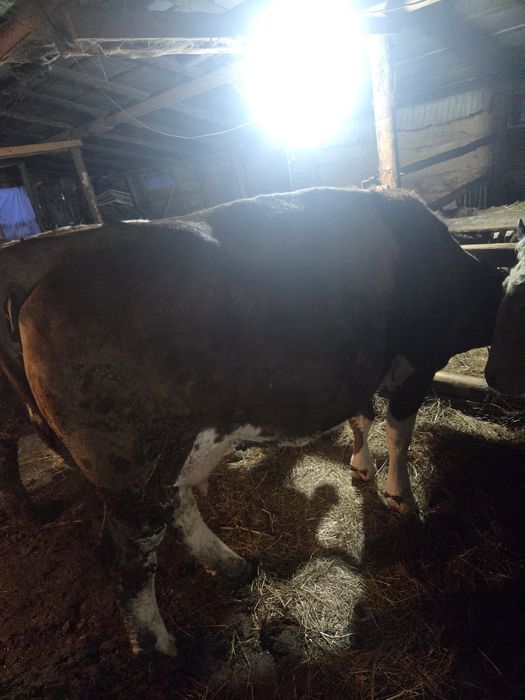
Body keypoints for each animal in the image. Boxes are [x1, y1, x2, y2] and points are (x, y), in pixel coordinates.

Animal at [0, 187, 505, 659]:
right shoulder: (418, 360)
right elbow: (399, 433)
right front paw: (402, 497)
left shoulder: (358, 370)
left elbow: (362, 417)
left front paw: (362, 468)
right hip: (132, 466)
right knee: (128, 555)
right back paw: (160, 647)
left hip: (167, 454)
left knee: (178, 509)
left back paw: (234, 566)